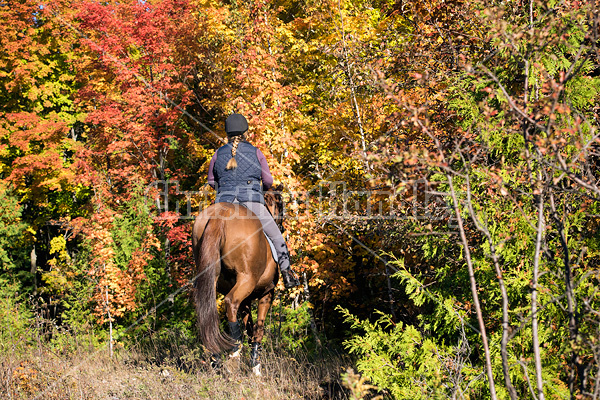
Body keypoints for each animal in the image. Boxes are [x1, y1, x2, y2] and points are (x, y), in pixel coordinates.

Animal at [193, 188, 284, 376]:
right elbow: (258, 329)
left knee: (207, 310)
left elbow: (249, 327)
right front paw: (255, 366)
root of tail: (222, 214)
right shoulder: (266, 293)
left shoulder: (246, 301)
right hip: (246, 281)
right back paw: (233, 356)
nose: (282, 227)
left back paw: (216, 358)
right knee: (230, 302)